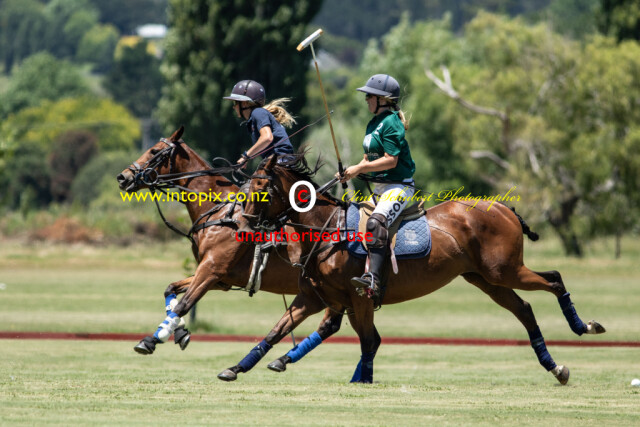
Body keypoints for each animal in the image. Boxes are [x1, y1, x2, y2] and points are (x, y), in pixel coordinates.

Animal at [117, 127, 361, 381]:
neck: (219, 211)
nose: (123, 177)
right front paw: (179, 332)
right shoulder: (219, 277)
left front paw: (151, 340)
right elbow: (171, 289)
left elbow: (184, 303)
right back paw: (281, 361)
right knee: (330, 325)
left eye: (154, 150)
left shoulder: (211, 269)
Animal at [240, 153, 606, 384]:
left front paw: (364, 381)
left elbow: (368, 340)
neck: (327, 228)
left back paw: (583, 327)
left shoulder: (358, 296)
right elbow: (278, 330)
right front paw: (239, 367)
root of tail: (505, 208)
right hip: (486, 280)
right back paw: (555, 367)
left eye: (261, 189)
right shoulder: (320, 297)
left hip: (505, 271)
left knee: (554, 280)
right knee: (526, 308)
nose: (242, 223)